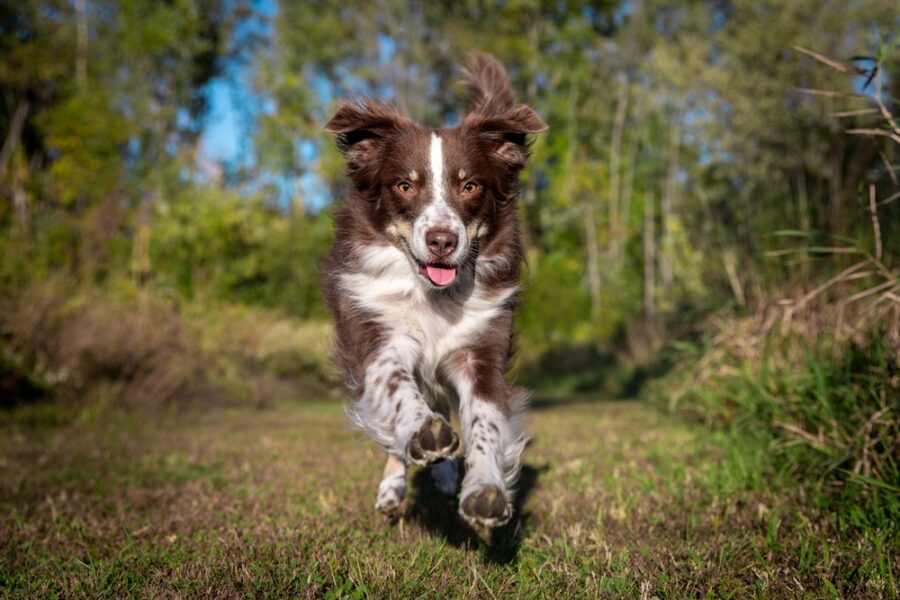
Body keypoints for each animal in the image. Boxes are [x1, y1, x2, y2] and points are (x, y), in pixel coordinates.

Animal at [324, 52, 548, 528]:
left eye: (470, 185)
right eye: (405, 185)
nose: (442, 241)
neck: (434, 297)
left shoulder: (479, 347)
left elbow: (484, 420)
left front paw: (483, 489)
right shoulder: (375, 330)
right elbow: (395, 383)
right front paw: (422, 435)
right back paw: (396, 484)